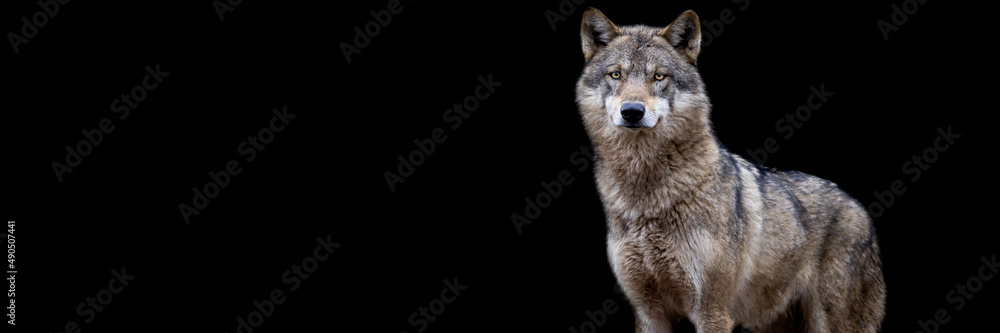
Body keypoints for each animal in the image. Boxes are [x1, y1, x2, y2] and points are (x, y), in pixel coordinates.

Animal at [576, 8, 888, 332]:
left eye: (659, 76)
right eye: (616, 74)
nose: (632, 111)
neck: (647, 196)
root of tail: (859, 208)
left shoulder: (711, 312)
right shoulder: (649, 313)